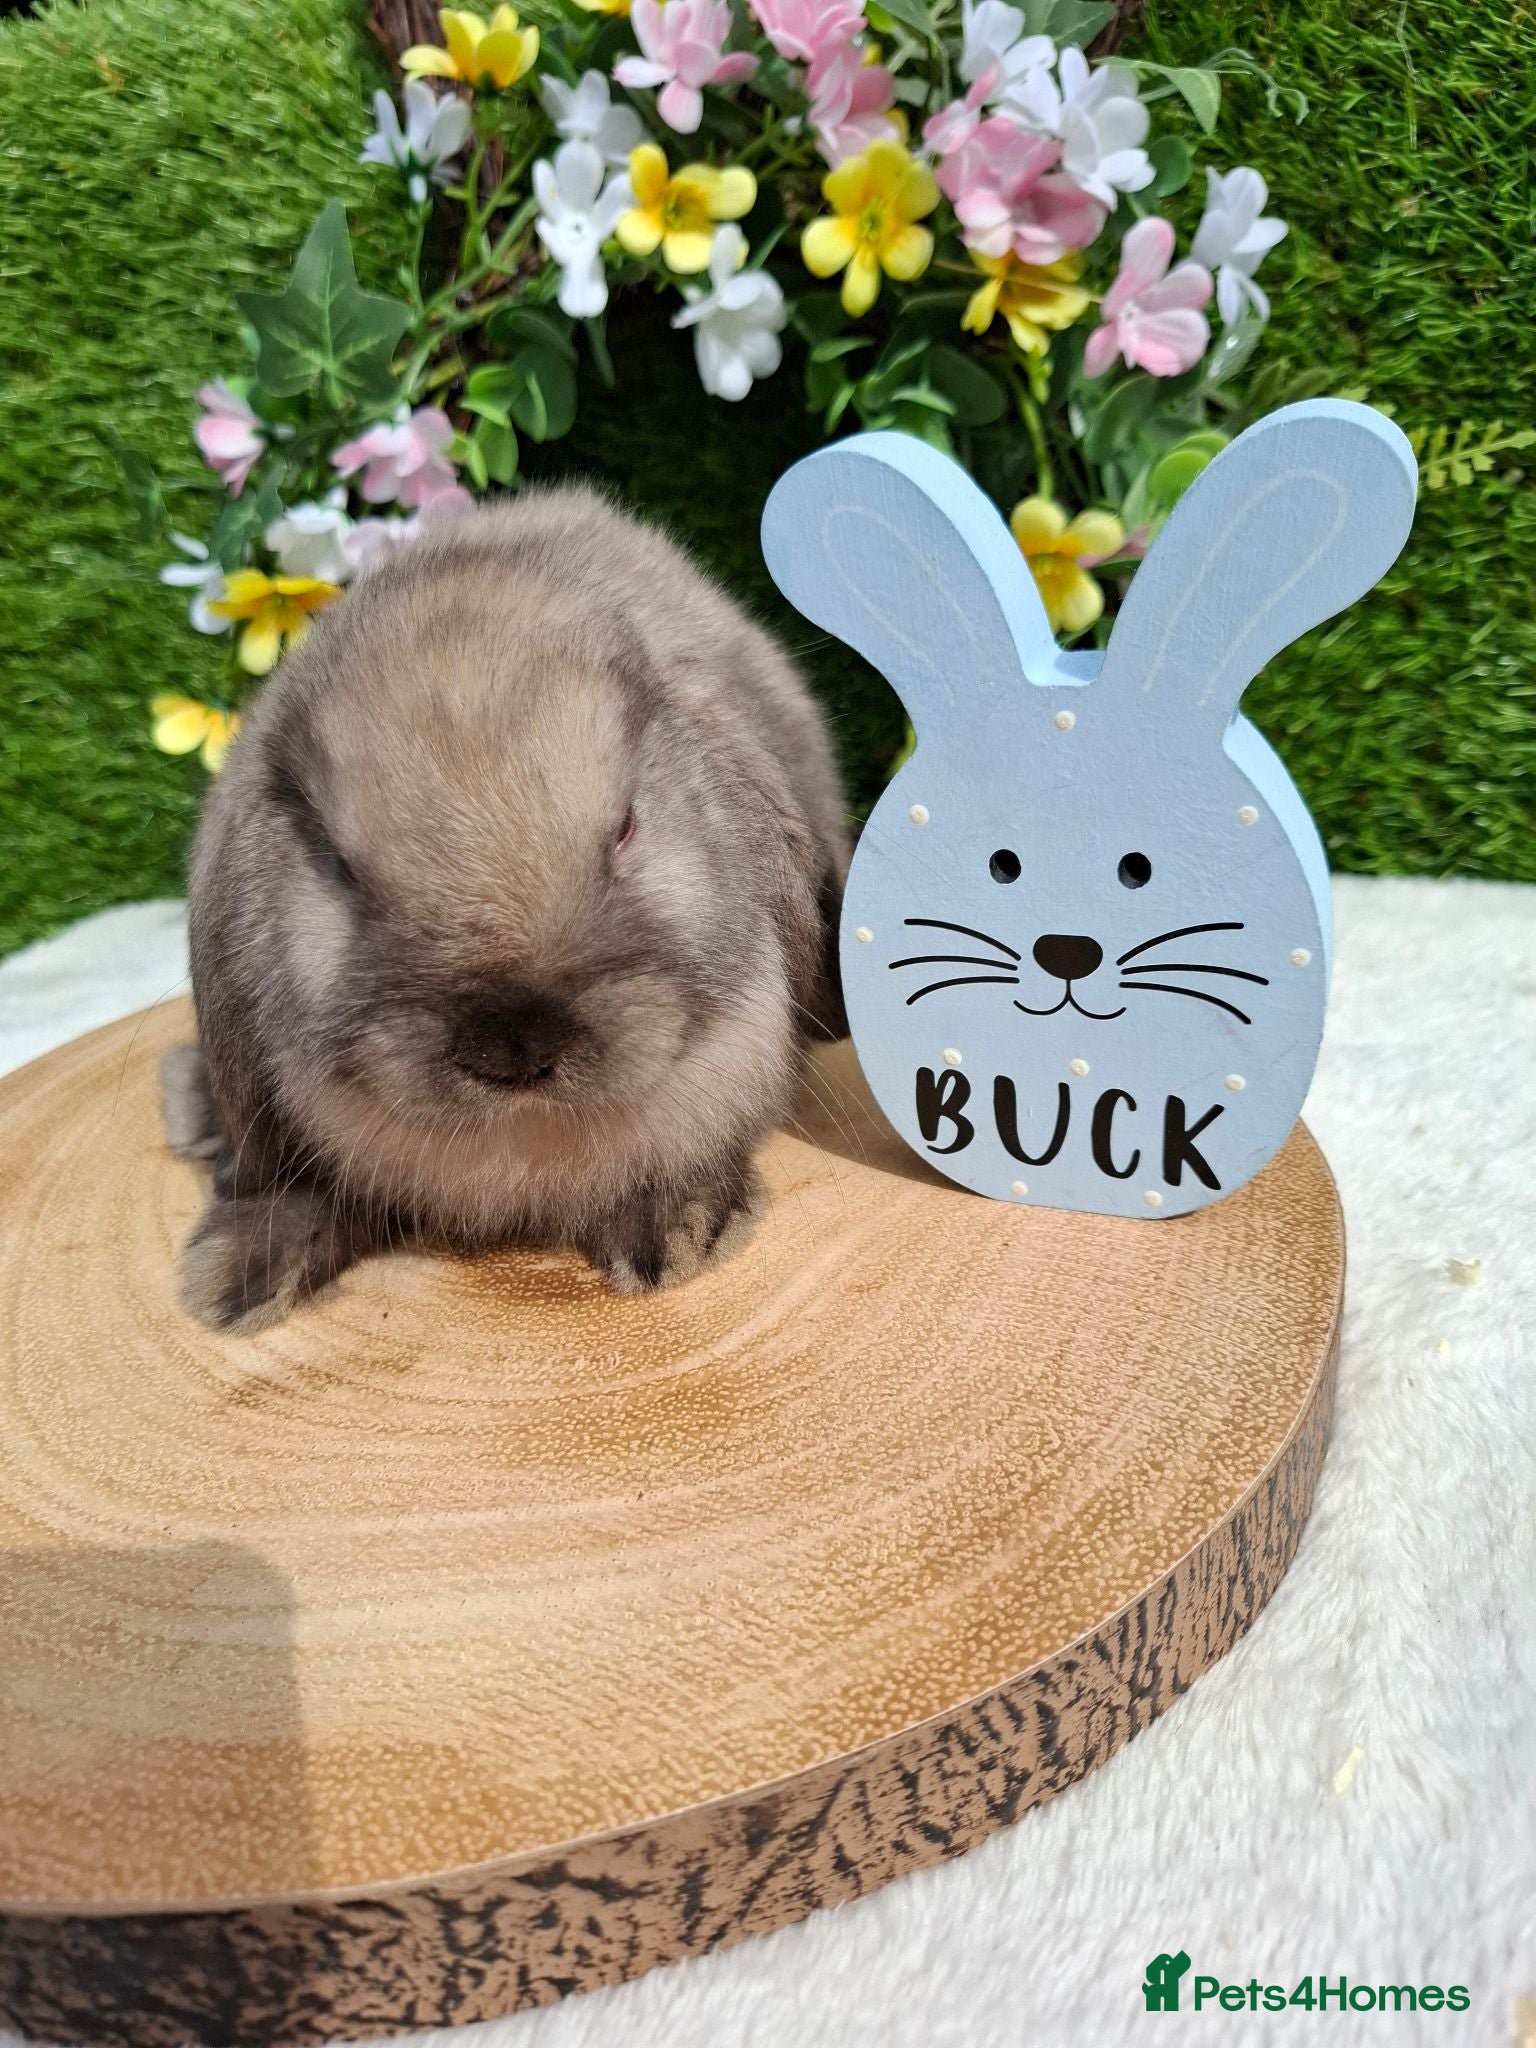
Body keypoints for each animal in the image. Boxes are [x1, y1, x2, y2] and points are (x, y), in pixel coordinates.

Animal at [163, 485, 850, 1331]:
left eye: (626, 826)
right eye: (339, 867)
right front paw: (234, 1283)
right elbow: (300, 1193)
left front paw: (677, 1232)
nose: (515, 1045)